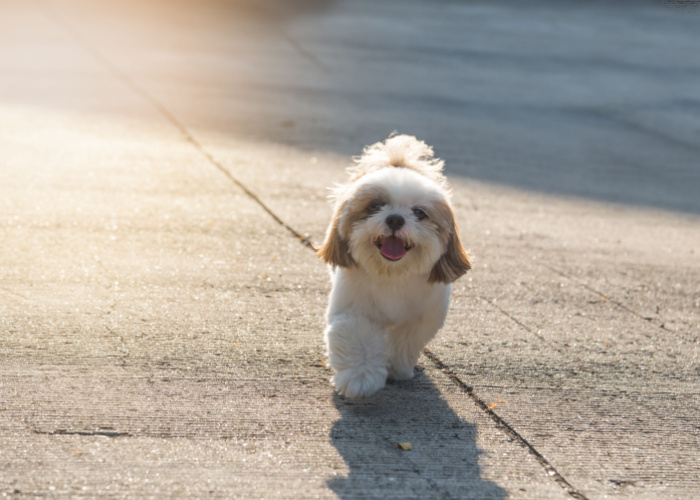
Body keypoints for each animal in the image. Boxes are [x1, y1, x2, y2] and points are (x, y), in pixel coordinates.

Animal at [318, 134, 470, 398]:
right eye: (375, 206)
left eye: (419, 213)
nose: (395, 219)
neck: (392, 273)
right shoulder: (355, 311)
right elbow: (359, 340)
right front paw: (361, 379)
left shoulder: (421, 318)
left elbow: (404, 342)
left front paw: (396, 369)